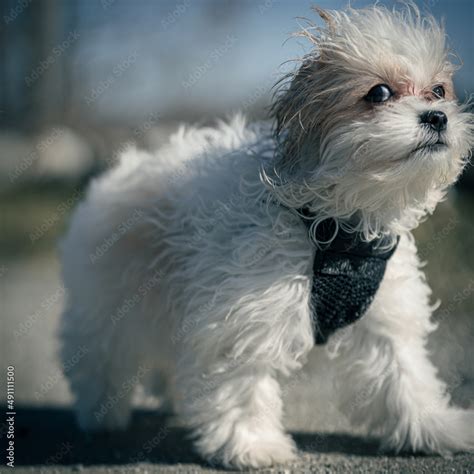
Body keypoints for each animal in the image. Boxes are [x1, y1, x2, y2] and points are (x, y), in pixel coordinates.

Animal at [59, 3, 474, 468]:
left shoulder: (385, 316)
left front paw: (431, 426)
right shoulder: (243, 320)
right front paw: (252, 443)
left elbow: (404, 374)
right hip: (113, 300)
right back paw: (101, 413)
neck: (333, 232)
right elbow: (243, 384)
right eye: (380, 93)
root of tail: (122, 168)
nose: (437, 116)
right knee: (98, 356)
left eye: (438, 91)